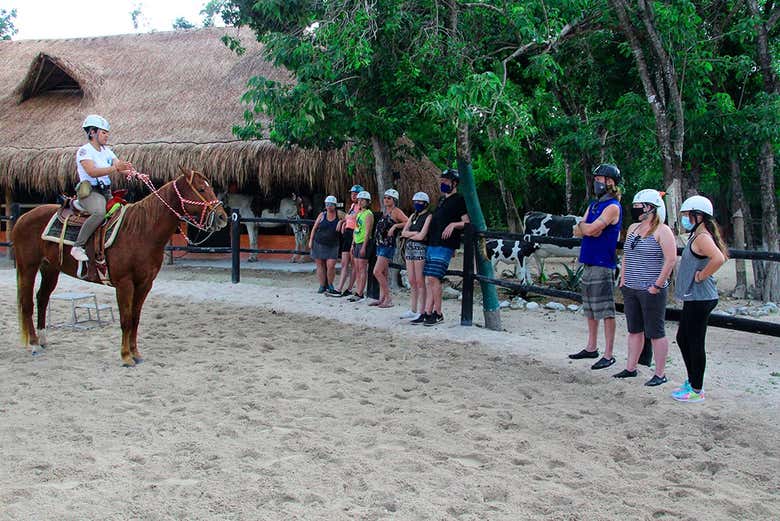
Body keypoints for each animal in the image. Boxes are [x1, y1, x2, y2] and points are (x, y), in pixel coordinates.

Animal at [12, 167, 228, 366]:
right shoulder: (124, 283)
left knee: (42, 298)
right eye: (202, 188)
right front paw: (126, 357)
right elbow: (125, 320)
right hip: (28, 267)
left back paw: (43, 340)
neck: (142, 231)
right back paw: (34, 344)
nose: (222, 217)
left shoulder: (145, 284)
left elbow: (135, 318)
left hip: (50, 269)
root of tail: (23, 217)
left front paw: (136, 354)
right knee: (27, 303)